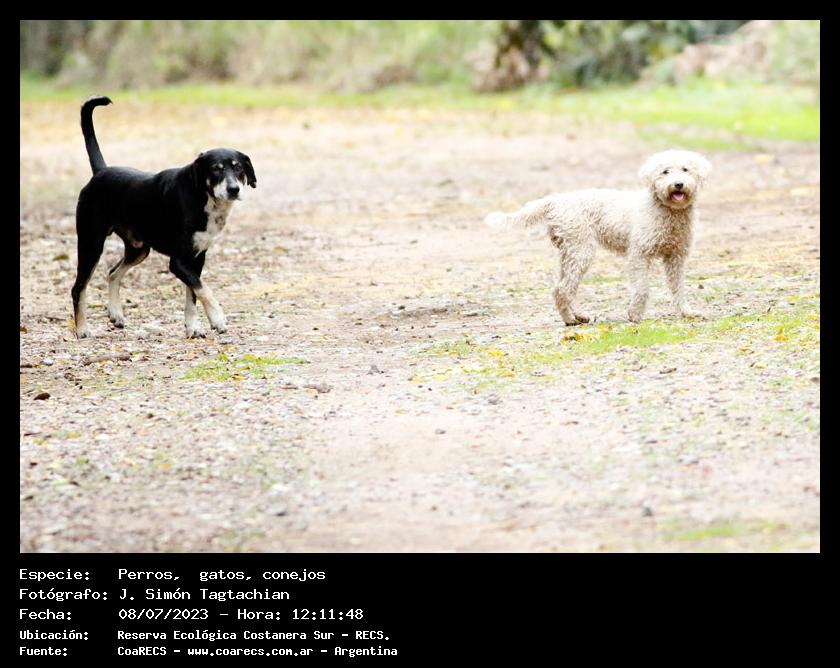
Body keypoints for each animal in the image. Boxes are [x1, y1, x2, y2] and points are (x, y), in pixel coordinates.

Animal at [71, 96, 256, 338]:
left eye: (239, 168)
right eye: (215, 169)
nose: (234, 189)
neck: (201, 196)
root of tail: (101, 171)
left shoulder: (196, 258)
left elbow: (192, 295)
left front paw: (193, 327)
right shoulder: (177, 262)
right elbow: (203, 289)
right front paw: (217, 317)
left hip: (139, 249)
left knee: (113, 273)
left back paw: (115, 314)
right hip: (91, 245)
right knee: (78, 287)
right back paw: (82, 328)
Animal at [485, 150, 711, 324]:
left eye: (685, 169)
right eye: (665, 171)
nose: (678, 184)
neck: (668, 211)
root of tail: (556, 201)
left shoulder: (676, 258)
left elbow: (678, 288)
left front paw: (687, 312)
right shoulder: (639, 255)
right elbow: (642, 289)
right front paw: (635, 314)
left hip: (568, 253)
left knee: (561, 288)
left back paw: (578, 316)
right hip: (581, 250)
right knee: (563, 290)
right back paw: (570, 320)